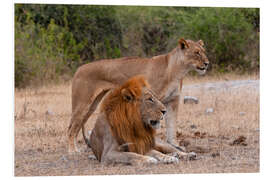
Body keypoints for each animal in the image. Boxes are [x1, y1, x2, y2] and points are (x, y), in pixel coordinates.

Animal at [67, 38, 209, 153]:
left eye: (203, 51)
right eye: (196, 52)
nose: (207, 63)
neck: (177, 71)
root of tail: (79, 69)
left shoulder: (173, 101)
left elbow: (172, 124)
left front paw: (175, 144)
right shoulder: (153, 100)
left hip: (92, 105)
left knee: (78, 125)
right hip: (82, 104)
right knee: (71, 128)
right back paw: (73, 151)